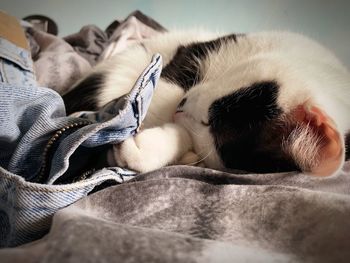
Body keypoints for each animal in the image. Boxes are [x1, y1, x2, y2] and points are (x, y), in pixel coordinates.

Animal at [63, 29, 350, 176]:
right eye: (225, 79)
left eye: (213, 124)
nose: (182, 105)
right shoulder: (194, 54)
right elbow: (160, 88)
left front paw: (149, 148)